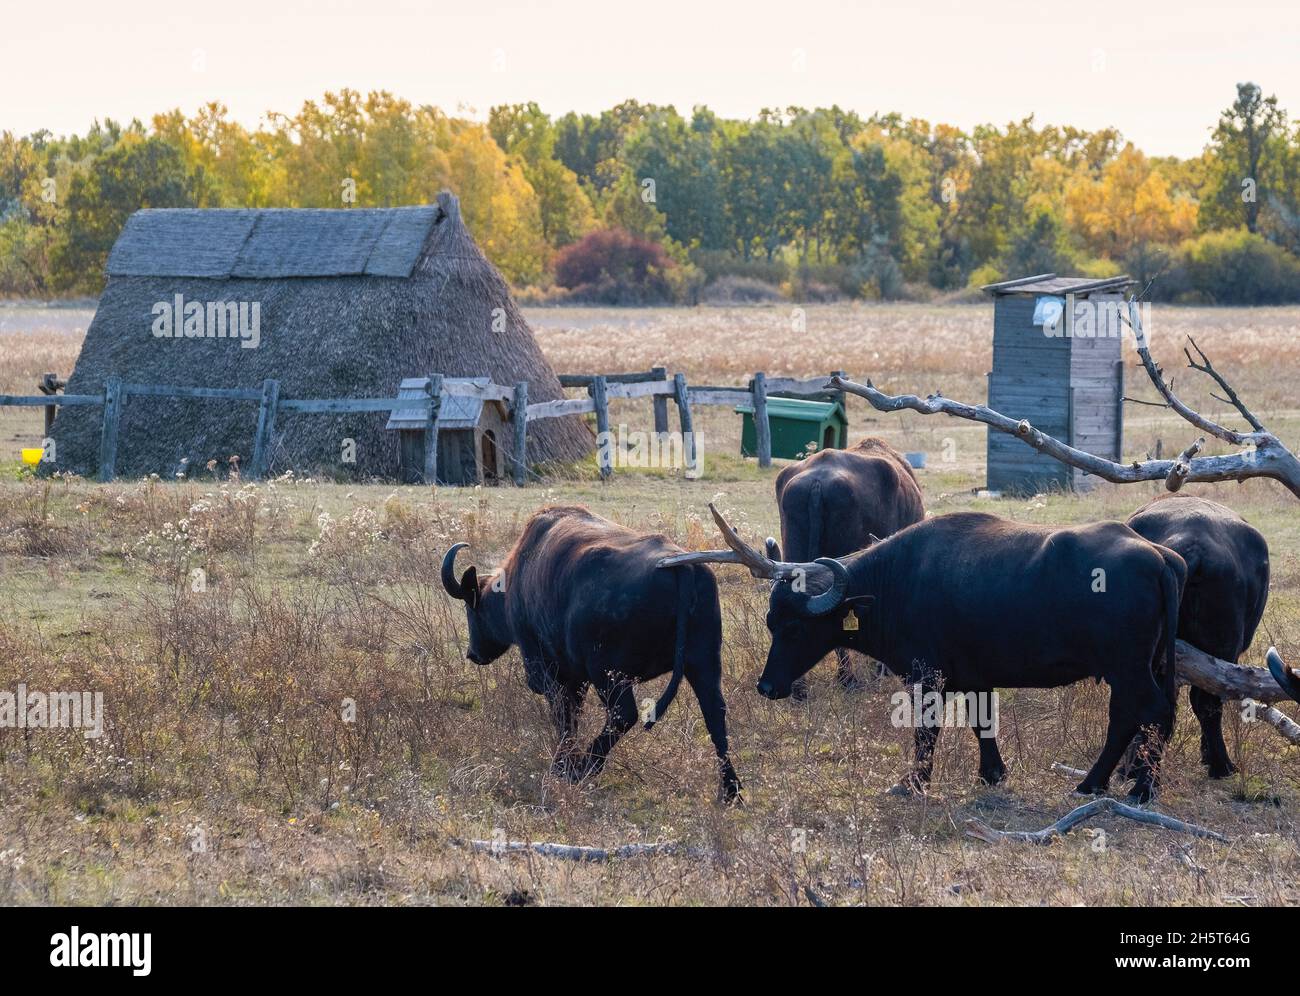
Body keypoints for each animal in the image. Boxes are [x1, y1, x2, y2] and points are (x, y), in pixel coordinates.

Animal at [439, 507, 738, 800]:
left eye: (471, 609)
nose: (473, 653)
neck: (517, 578)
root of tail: (683, 568)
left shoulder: (549, 672)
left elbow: (563, 716)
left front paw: (563, 766)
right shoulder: (577, 678)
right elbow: (573, 714)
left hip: (609, 676)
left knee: (623, 715)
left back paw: (585, 768)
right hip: (704, 665)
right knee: (715, 713)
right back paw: (730, 790)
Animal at [681, 507, 1190, 800]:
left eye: (792, 626)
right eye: (772, 622)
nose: (768, 686)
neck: (896, 581)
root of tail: (1159, 556)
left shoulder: (928, 676)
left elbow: (926, 731)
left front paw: (913, 783)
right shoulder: (975, 677)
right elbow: (983, 723)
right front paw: (991, 774)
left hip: (1127, 667)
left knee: (1152, 711)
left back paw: (1130, 786)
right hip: (1143, 665)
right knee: (1138, 714)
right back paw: (1110, 781)